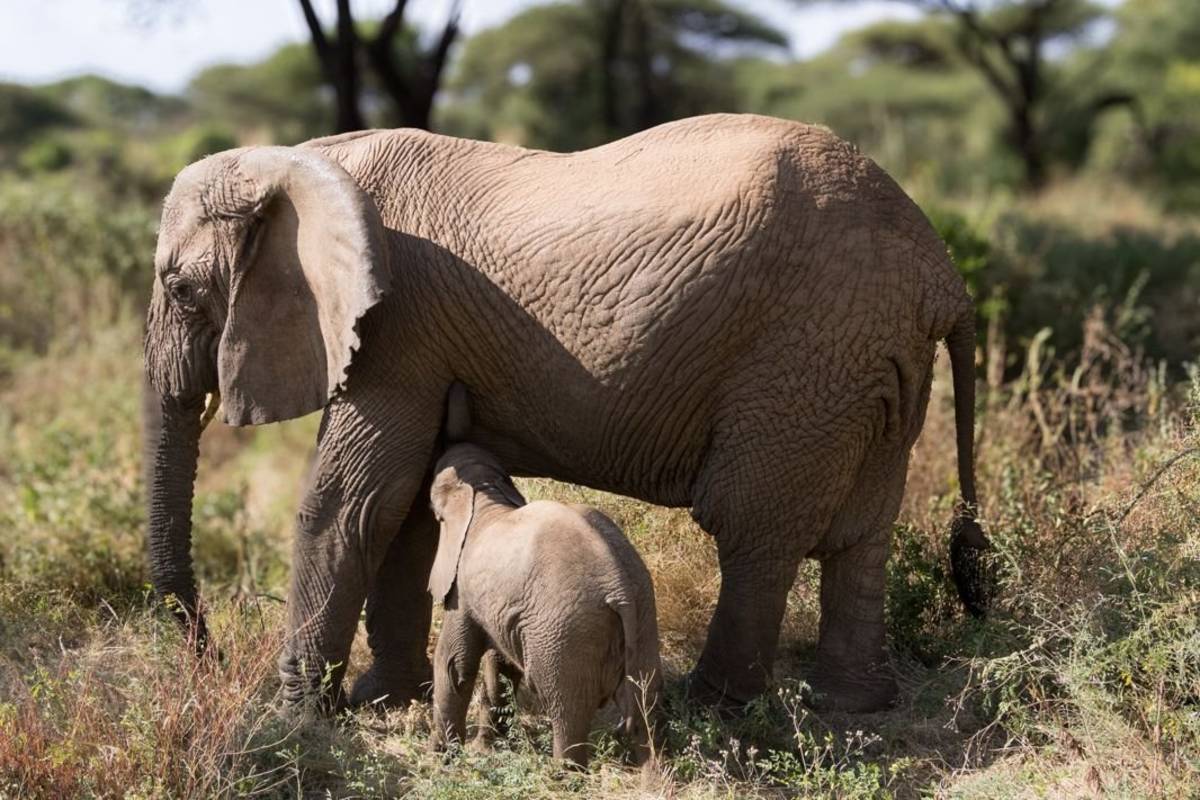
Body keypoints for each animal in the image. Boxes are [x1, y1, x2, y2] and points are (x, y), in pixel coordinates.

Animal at [142, 112, 990, 715]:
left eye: (180, 289)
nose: (208, 658)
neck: (295, 162)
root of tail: (941, 271)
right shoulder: (416, 339)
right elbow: (405, 502)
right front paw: (382, 700)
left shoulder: (395, 327)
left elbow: (351, 501)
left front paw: (296, 719)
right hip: (868, 364)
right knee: (861, 536)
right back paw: (854, 707)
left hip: (805, 359)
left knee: (753, 528)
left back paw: (714, 708)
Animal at [427, 441, 661, 767]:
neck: (486, 493)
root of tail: (620, 587)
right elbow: (500, 667)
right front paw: (482, 751)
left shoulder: (463, 587)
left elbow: (454, 663)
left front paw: (440, 757)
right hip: (643, 619)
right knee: (643, 711)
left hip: (566, 636)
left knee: (566, 710)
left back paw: (563, 772)